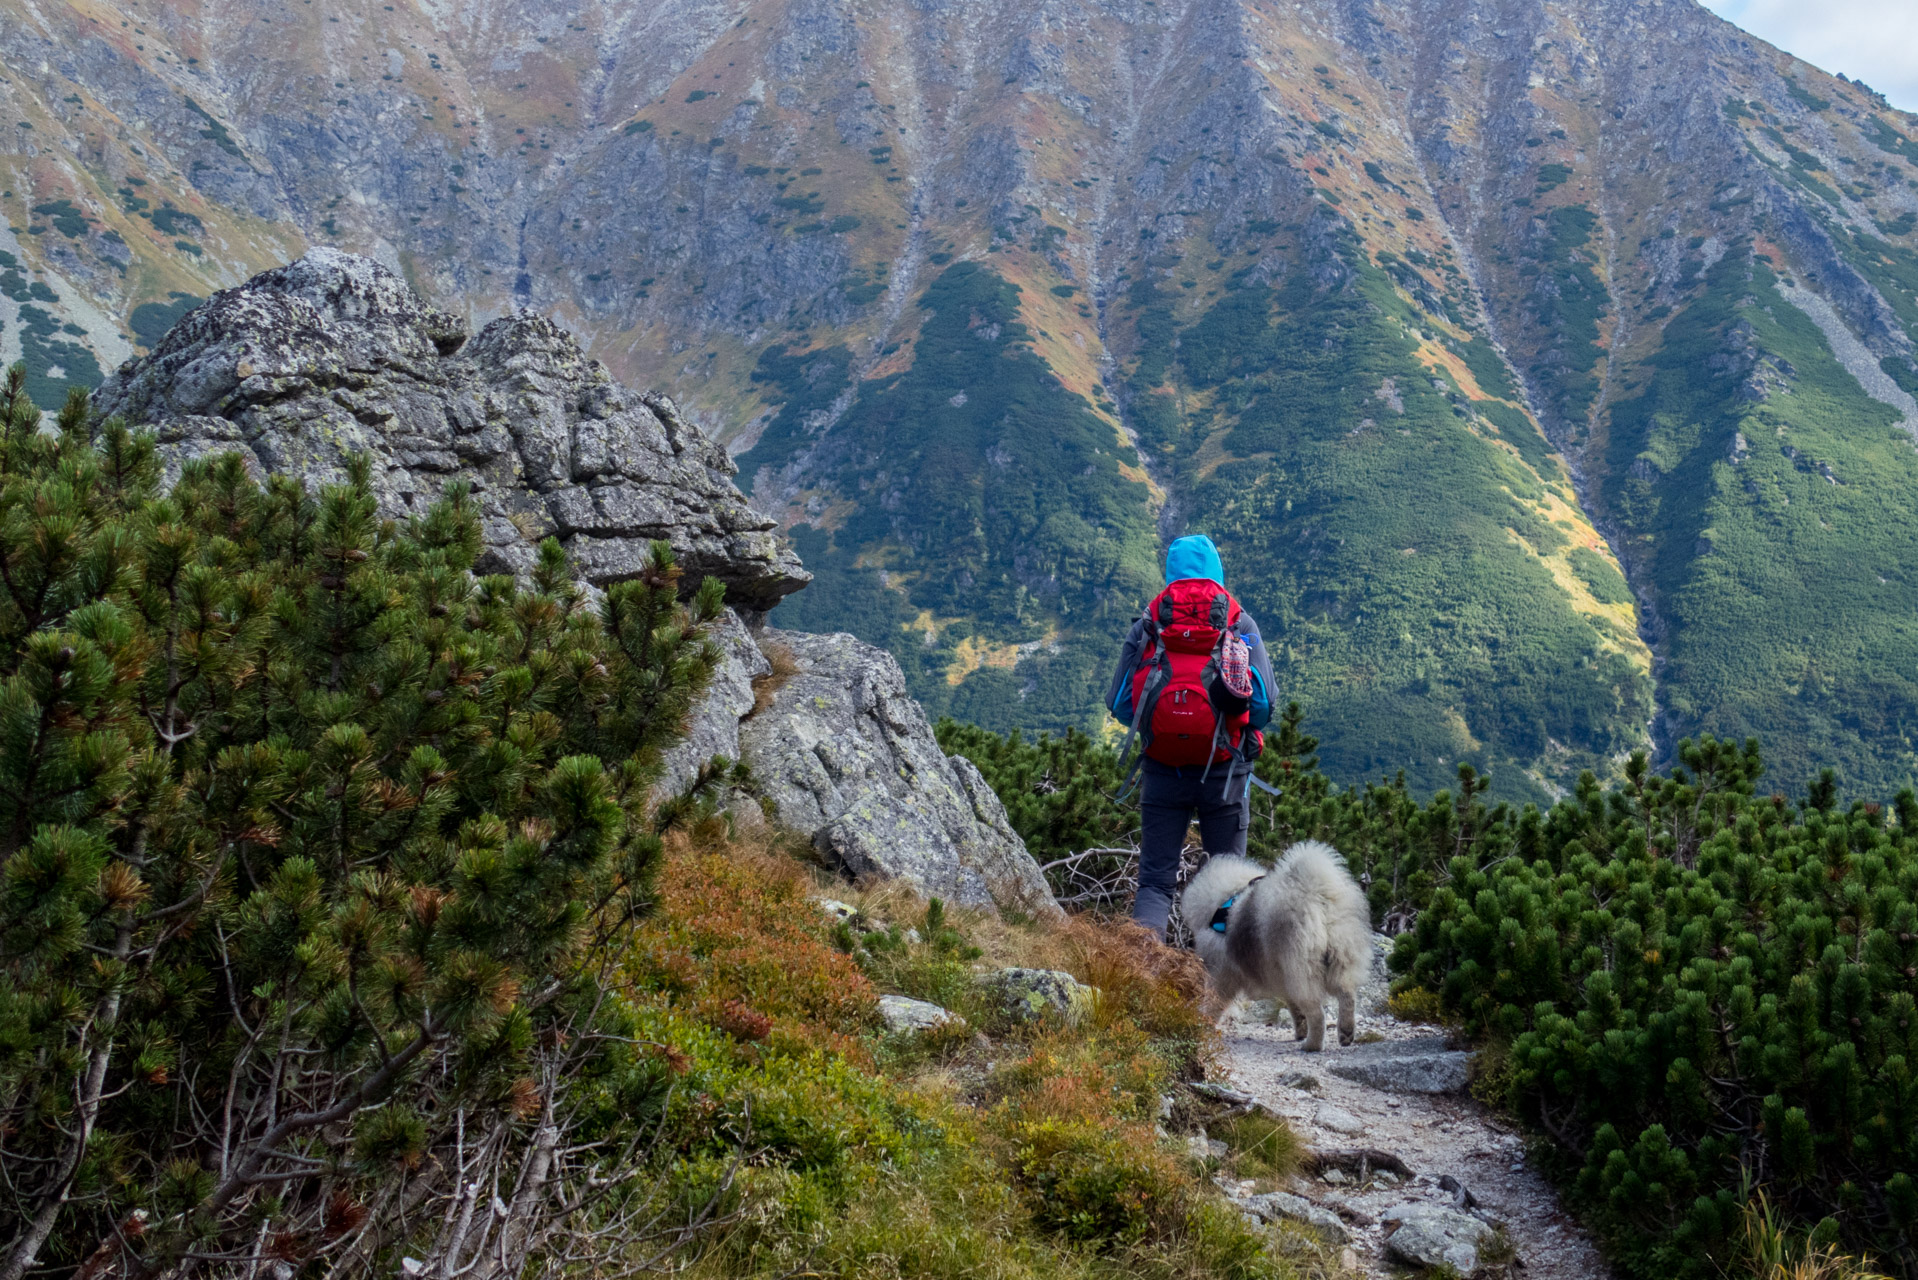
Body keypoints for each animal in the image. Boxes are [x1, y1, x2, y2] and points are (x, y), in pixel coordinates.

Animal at [1173, 840, 1373, 1051]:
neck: (1223, 900)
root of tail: (1316, 894)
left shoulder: (1221, 973)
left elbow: (1214, 1001)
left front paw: (1204, 1023)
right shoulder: (1281, 976)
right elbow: (1294, 1008)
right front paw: (1300, 1030)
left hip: (1302, 971)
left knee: (1318, 1014)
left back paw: (1312, 1045)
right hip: (1340, 959)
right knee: (1347, 995)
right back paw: (1345, 1033)